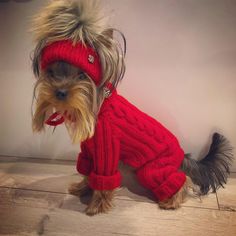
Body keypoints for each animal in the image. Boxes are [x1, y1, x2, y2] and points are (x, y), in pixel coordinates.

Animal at [30, 0, 232, 215]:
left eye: (82, 76)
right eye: (51, 73)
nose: (59, 92)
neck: (98, 107)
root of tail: (182, 155)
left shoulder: (107, 148)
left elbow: (104, 179)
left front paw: (96, 205)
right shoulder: (90, 150)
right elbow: (87, 171)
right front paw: (82, 187)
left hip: (152, 168)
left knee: (182, 179)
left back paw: (171, 200)